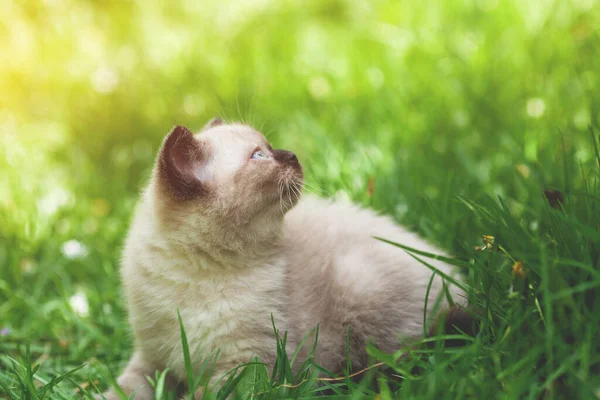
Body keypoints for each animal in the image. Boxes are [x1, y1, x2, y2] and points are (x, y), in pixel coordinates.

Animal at [103, 119, 466, 400]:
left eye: (267, 147)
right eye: (259, 156)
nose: (292, 155)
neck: (198, 277)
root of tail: (461, 279)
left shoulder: (244, 365)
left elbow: (200, 395)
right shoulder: (154, 361)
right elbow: (121, 391)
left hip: (360, 287)